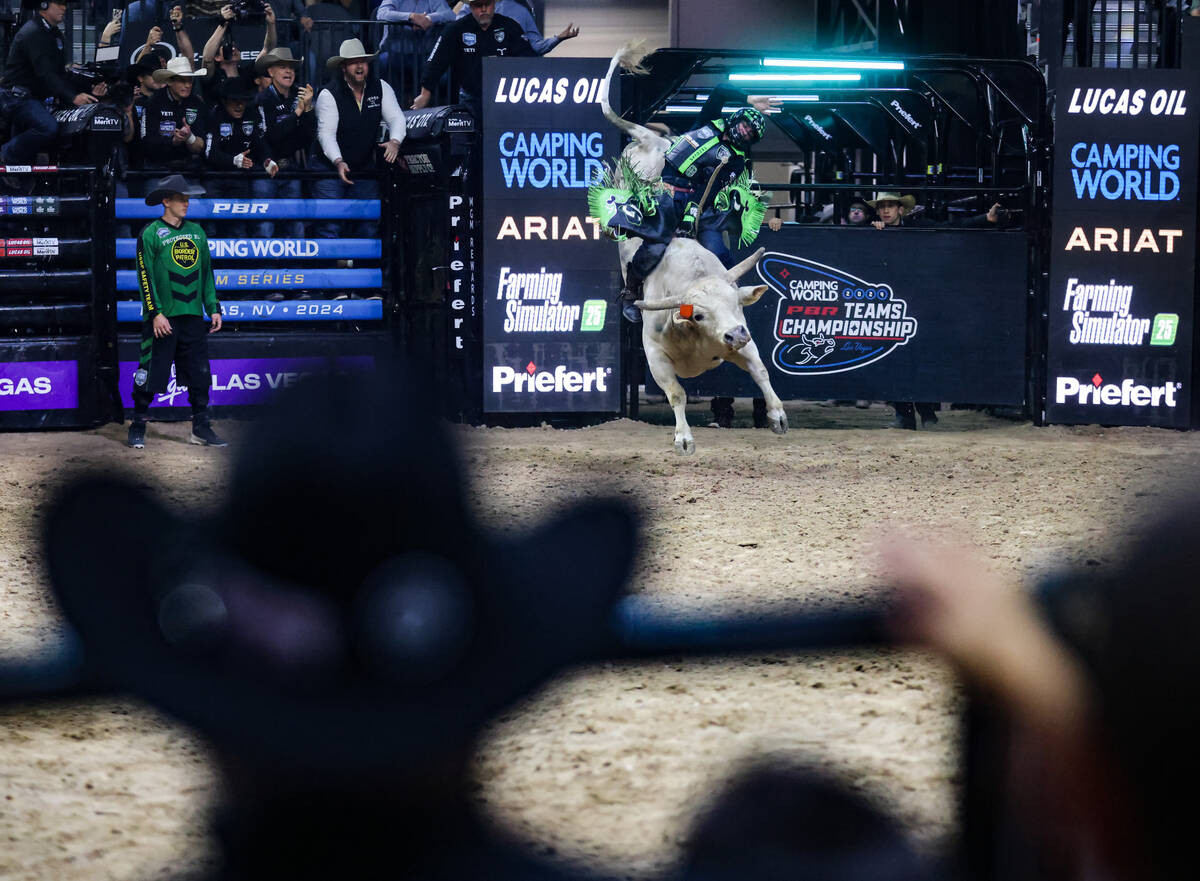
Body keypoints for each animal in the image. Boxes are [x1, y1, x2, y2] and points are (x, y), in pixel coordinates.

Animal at [597, 43, 787, 456]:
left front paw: (778, 415)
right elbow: (677, 394)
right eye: (699, 313)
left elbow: (762, 370)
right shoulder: (655, 356)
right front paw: (684, 438)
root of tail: (653, 142)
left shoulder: (743, 340)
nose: (735, 335)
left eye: (737, 305)